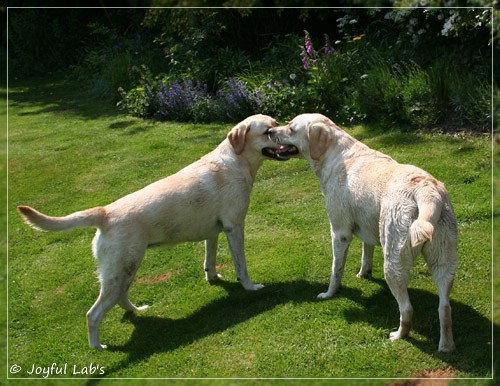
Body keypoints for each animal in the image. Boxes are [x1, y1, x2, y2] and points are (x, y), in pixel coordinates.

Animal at [17, 114, 284, 350]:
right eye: (267, 131)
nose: (283, 133)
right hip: (122, 269)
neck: (236, 161)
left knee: (120, 298)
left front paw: (213, 277)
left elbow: (210, 260)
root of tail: (105, 212)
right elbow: (241, 264)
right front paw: (250, 286)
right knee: (93, 314)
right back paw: (97, 346)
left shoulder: (214, 231)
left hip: (125, 269)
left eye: (277, 124)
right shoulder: (234, 226)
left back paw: (136, 310)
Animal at [268, 113, 458, 352]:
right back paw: (446, 346)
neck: (335, 154)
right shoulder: (368, 227)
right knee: (444, 307)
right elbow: (366, 253)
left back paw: (398, 336)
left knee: (407, 309)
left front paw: (329, 294)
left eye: (291, 128)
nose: (269, 131)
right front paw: (363, 273)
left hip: (393, 262)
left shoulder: (339, 232)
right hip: (444, 262)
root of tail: (426, 191)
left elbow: (336, 269)